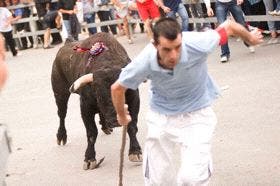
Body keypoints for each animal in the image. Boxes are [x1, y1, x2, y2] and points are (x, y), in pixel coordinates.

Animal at [51, 32, 142, 170]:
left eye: (123, 95)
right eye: (99, 96)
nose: (115, 121)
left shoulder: (134, 100)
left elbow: (132, 126)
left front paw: (135, 152)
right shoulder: (85, 107)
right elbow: (91, 133)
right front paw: (89, 159)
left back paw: (105, 126)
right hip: (60, 93)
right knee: (62, 114)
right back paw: (61, 136)